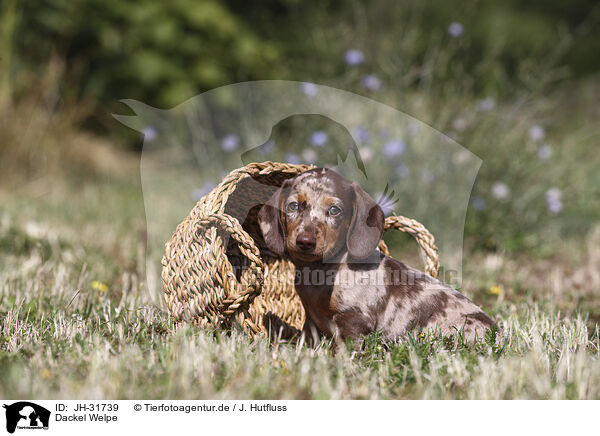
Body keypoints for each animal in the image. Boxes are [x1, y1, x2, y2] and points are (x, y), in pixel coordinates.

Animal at [255, 169, 494, 346]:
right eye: (293, 205)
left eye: (334, 210)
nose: (305, 241)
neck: (320, 272)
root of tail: (497, 333)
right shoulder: (311, 320)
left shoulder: (353, 319)